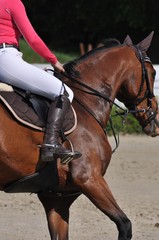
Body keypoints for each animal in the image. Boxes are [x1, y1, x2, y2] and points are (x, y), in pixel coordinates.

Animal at [0, 32, 159, 240]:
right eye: (153, 73)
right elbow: (125, 225)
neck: (85, 104)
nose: (155, 120)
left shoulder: (57, 198)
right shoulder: (89, 179)